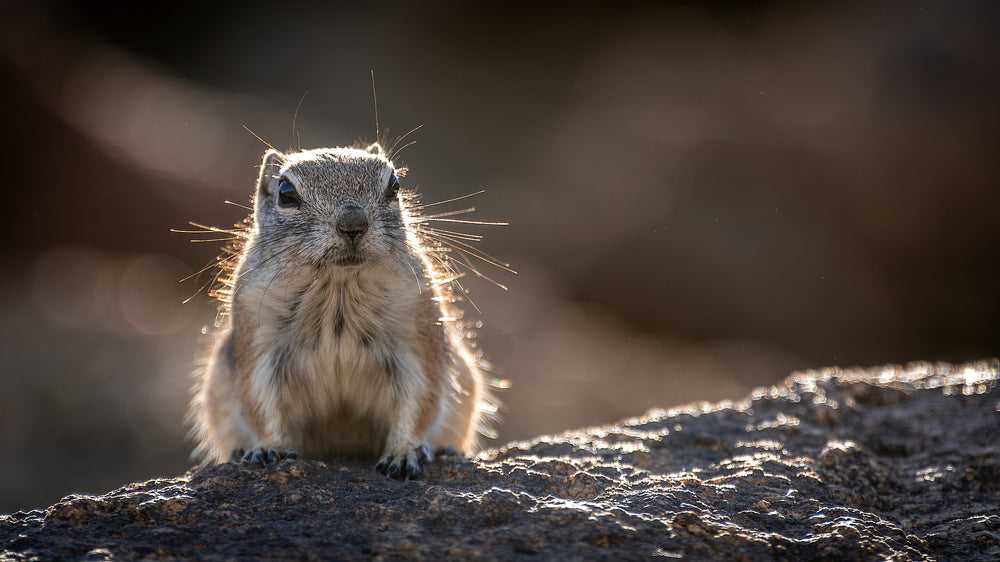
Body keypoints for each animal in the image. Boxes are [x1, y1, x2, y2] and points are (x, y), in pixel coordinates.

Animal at [186, 141, 500, 476]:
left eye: (395, 186)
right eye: (286, 193)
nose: (353, 224)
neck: (338, 287)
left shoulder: (415, 335)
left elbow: (421, 401)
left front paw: (404, 453)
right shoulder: (258, 336)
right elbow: (257, 402)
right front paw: (270, 448)